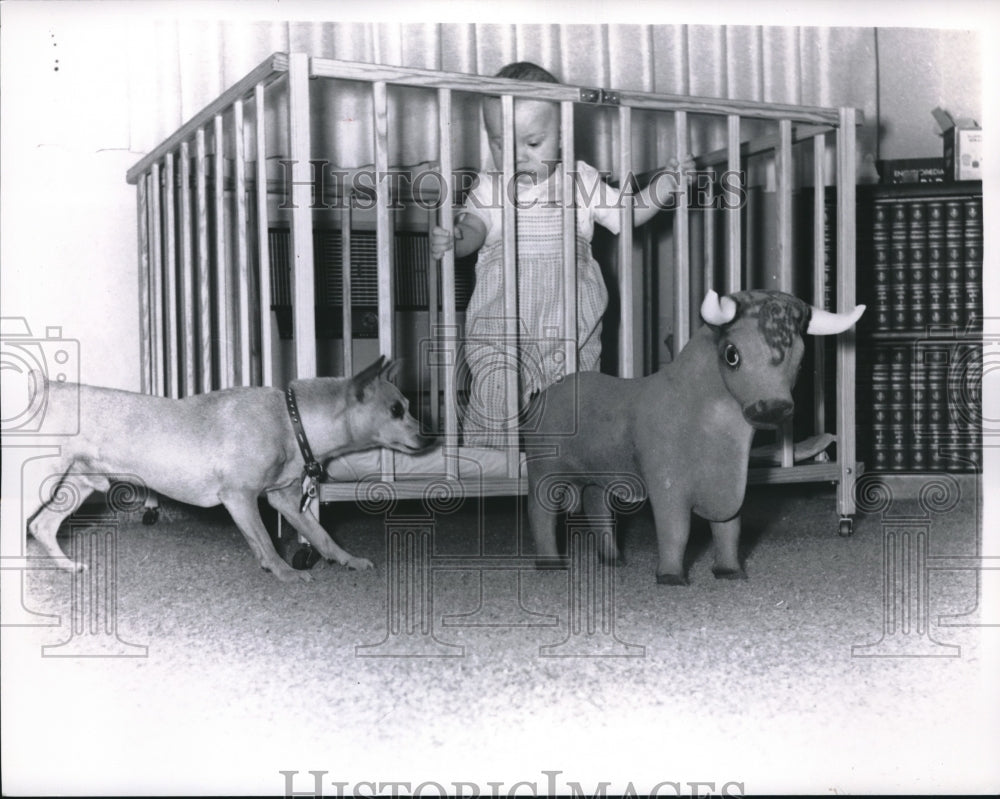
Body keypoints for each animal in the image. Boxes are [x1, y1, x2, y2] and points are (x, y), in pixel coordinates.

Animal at [25, 356, 432, 580]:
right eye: (396, 410)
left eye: (409, 405)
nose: (428, 437)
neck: (290, 419)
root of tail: (45, 391)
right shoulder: (241, 498)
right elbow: (265, 541)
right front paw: (286, 573)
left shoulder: (286, 502)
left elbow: (323, 536)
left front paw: (348, 560)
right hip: (40, 483)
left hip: (79, 486)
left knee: (42, 527)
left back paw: (68, 568)